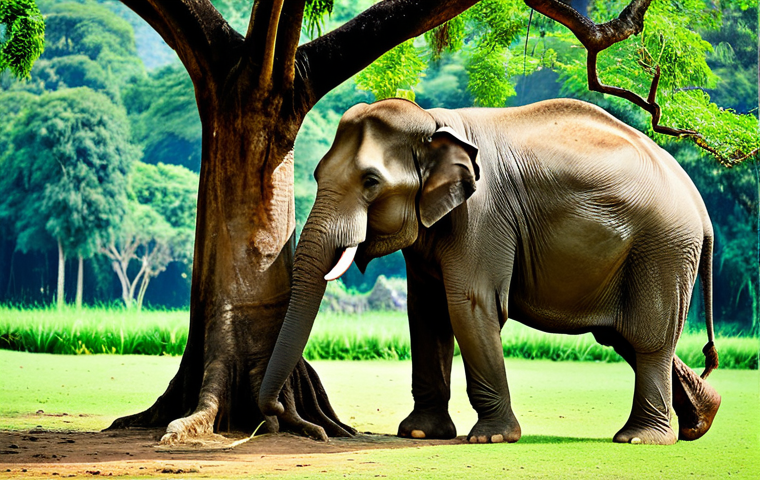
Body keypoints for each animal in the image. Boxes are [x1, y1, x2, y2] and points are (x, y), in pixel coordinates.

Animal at [259, 98, 721, 445]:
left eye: (371, 182)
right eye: (316, 173)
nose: (283, 415)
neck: (434, 122)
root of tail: (701, 210)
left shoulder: (482, 215)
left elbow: (470, 305)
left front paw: (492, 438)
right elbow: (427, 311)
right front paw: (420, 433)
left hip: (664, 249)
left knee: (647, 338)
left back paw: (640, 439)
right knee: (620, 336)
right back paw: (701, 420)